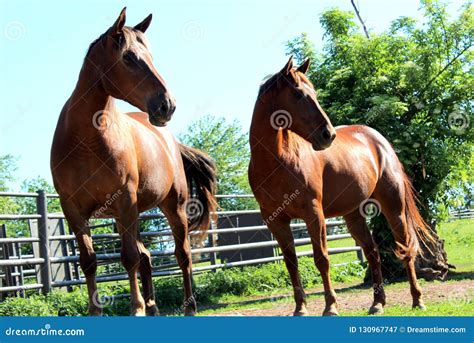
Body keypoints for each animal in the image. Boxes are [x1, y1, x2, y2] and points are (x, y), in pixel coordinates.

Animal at [50, 8, 217, 318]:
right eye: (128, 57)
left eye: (150, 55)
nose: (167, 105)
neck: (86, 140)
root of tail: (170, 142)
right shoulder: (73, 209)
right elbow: (89, 260)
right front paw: (95, 311)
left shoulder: (124, 200)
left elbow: (128, 258)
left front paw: (135, 308)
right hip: (130, 215)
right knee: (147, 256)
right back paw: (153, 307)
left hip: (171, 208)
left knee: (182, 255)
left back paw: (188, 306)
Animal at [250, 56, 436, 318]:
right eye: (298, 94)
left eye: (314, 93)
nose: (328, 135)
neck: (277, 160)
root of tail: (379, 140)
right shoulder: (276, 221)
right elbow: (291, 263)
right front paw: (300, 308)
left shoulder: (314, 214)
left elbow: (322, 259)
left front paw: (330, 306)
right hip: (354, 216)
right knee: (372, 253)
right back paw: (377, 303)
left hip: (394, 208)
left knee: (405, 249)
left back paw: (417, 300)